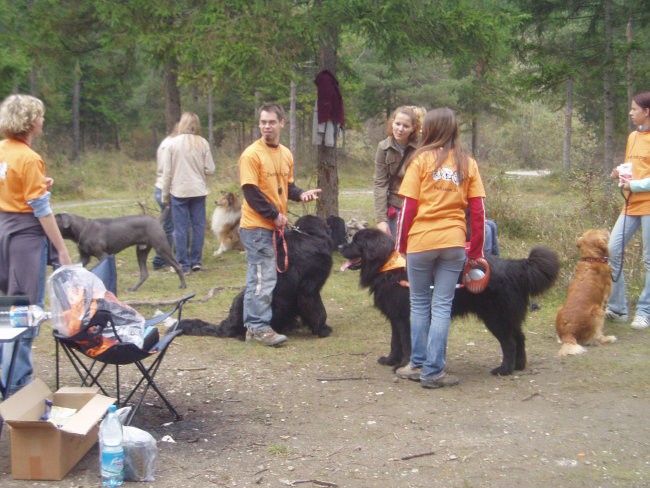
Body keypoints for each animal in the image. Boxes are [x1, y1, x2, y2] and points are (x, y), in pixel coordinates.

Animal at [340, 231, 556, 376]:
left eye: (356, 241)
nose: (340, 246)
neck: (387, 265)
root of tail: (515, 266)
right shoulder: (395, 317)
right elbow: (395, 341)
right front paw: (390, 360)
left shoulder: (406, 317)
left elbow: (407, 343)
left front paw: (403, 365)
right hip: (508, 316)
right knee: (520, 337)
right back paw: (519, 366)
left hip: (496, 317)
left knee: (509, 342)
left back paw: (504, 369)